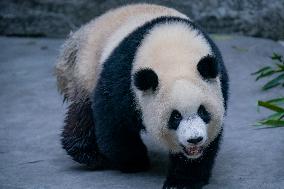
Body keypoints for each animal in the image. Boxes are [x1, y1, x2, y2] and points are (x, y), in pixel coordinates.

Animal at [55, 3, 229, 189]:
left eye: (203, 111)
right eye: (175, 116)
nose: (194, 139)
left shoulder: (219, 82)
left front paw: (183, 180)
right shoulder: (122, 78)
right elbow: (115, 123)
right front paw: (135, 161)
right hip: (88, 69)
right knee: (83, 112)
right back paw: (90, 154)